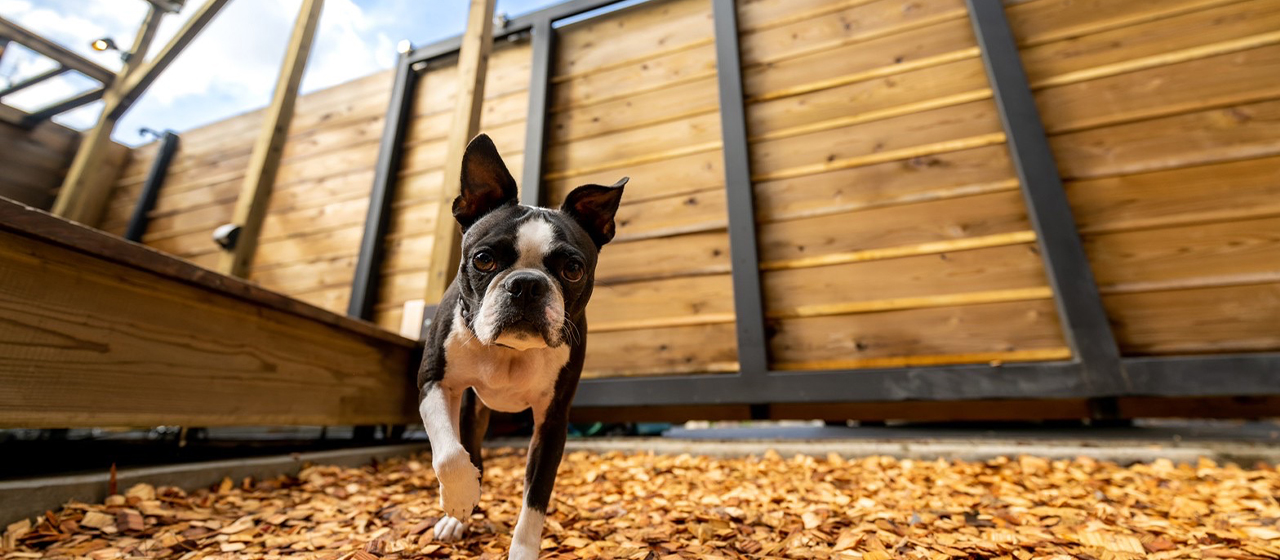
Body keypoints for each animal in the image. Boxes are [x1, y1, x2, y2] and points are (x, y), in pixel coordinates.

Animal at [417, 133, 622, 557]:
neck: (509, 351)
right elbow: (449, 454)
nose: (526, 284)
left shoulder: (552, 422)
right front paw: (459, 500)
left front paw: (523, 550)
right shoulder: (434, 383)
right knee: (468, 449)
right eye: (483, 260)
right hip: (472, 409)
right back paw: (460, 515)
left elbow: (535, 499)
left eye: (572, 269)